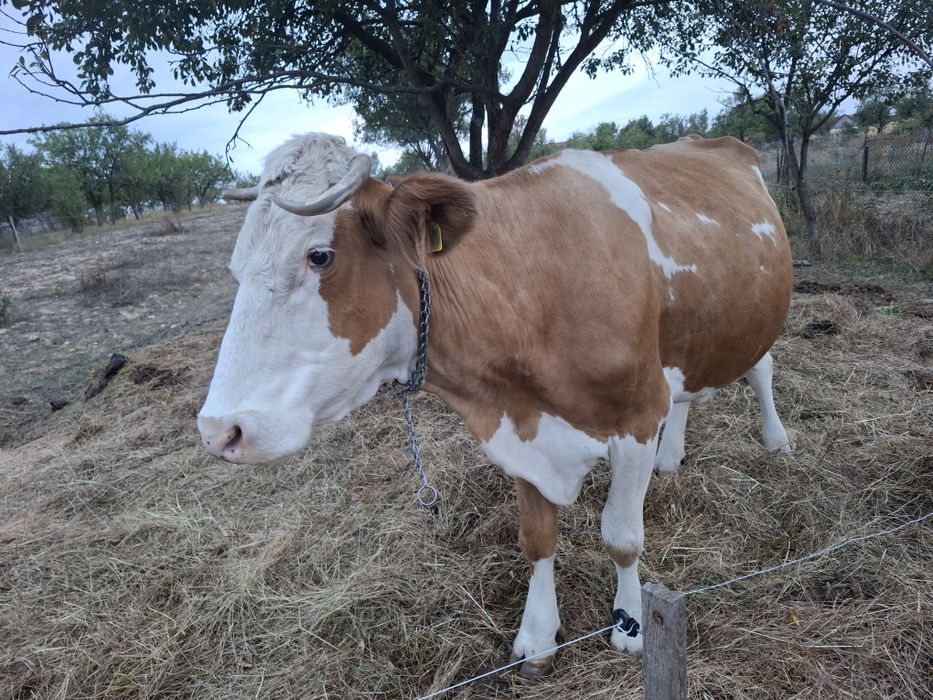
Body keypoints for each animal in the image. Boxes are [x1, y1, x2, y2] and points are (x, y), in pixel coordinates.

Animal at [198, 132, 792, 674]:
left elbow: (622, 537)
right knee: (688, 388)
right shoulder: (520, 428)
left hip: (756, 322)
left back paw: (776, 440)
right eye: (234, 266)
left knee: (760, 369)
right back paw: (672, 457)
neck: (532, 291)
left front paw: (631, 625)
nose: (217, 430)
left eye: (319, 255)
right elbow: (536, 540)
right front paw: (538, 636)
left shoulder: (638, 415)